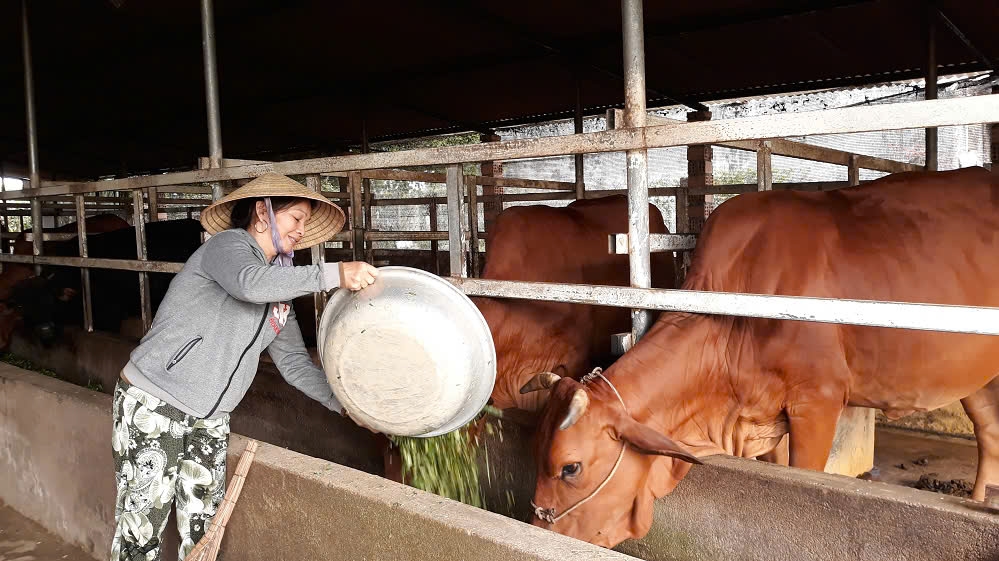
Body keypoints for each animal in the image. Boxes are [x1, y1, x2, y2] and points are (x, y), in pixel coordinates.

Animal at [520, 167, 999, 548]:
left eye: (570, 467)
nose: (536, 528)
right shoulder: (765, 417)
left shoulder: (817, 403)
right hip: (977, 377)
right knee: (989, 433)